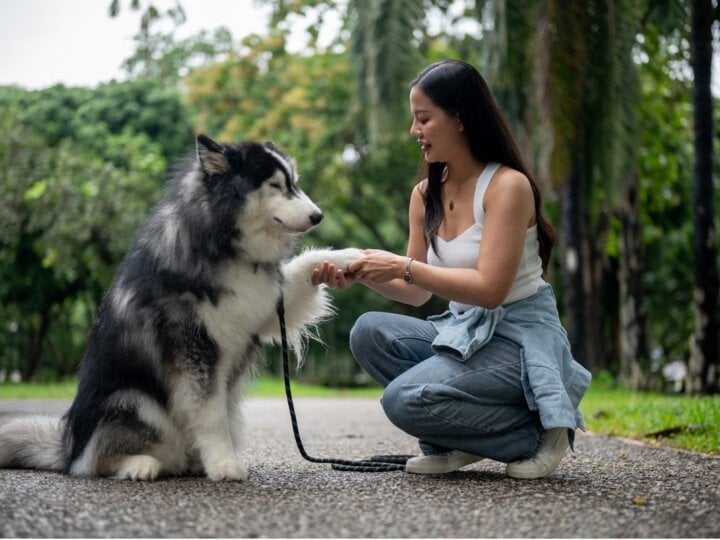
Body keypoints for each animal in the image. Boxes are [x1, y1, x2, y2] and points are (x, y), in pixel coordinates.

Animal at [0, 135, 360, 480]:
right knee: (92, 462)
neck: (225, 247)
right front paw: (224, 465)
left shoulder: (267, 310)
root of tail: (67, 447)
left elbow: (306, 263)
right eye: (274, 185)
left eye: (294, 183)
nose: (318, 216)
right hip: (132, 400)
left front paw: (350, 257)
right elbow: (210, 415)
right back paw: (140, 465)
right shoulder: (194, 349)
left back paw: (193, 461)